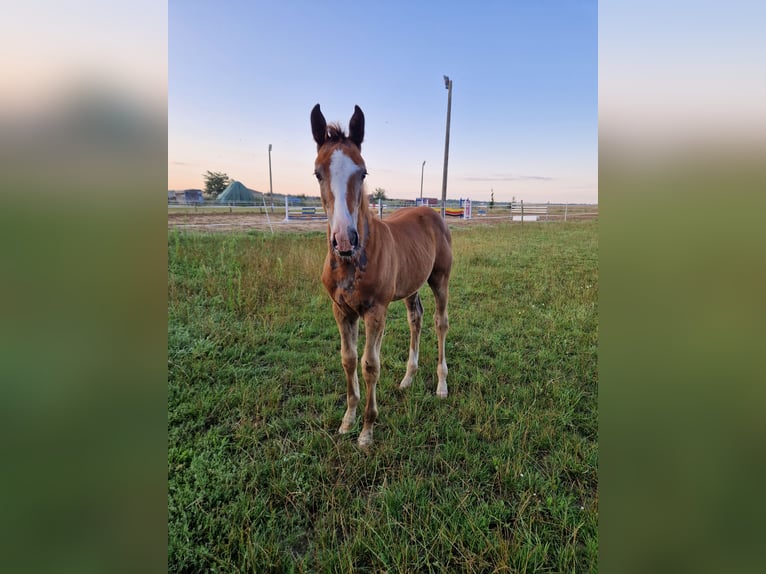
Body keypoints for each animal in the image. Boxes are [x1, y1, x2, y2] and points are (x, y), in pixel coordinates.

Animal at [312, 104, 452, 450]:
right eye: (318, 173)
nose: (344, 240)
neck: (351, 263)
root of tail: (431, 213)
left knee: (440, 323)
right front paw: (347, 420)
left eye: (362, 172)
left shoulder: (376, 311)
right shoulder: (340, 310)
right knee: (416, 319)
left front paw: (367, 430)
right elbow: (348, 359)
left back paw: (442, 386)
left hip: (440, 279)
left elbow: (370, 365)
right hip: (411, 285)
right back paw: (408, 378)